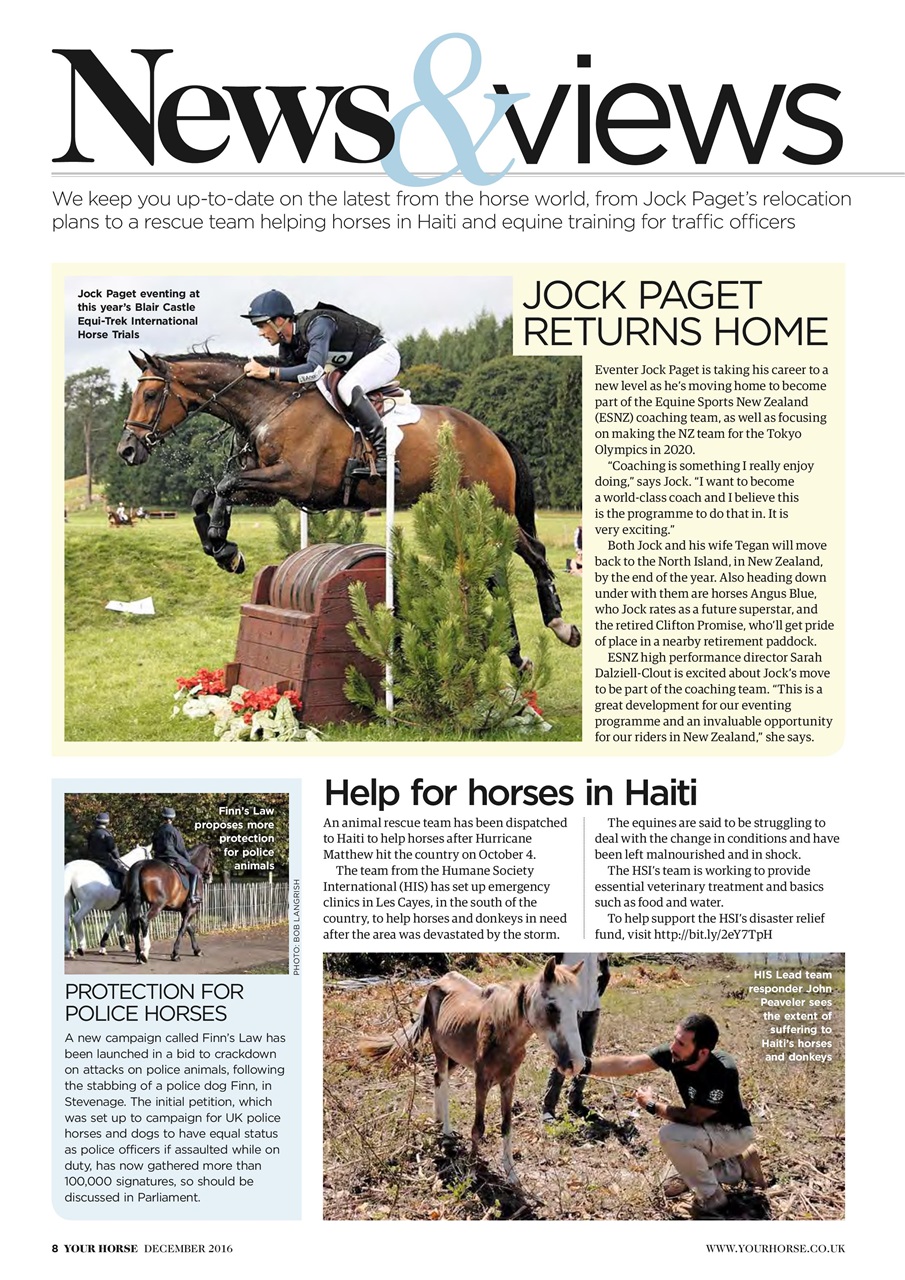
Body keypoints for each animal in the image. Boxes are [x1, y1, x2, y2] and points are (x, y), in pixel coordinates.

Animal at [116, 351, 580, 661]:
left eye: (152, 394)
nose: (127, 450)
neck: (269, 408)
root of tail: (490, 433)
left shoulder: (295, 480)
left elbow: (225, 485)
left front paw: (220, 543)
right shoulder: (271, 489)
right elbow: (208, 494)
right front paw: (226, 552)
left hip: (491, 507)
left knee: (535, 553)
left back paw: (560, 626)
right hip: (465, 509)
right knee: (495, 570)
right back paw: (516, 653)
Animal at [358, 956, 588, 1183]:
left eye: (578, 1009)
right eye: (552, 1007)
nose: (576, 1063)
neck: (503, 1033)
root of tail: (438, 982)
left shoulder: (509, 1081)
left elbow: (506, 1126)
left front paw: (511, 1174)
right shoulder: (481, 1081)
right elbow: (478, 1128)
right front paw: (472, 1171)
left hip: (455, 1057)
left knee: (437, 1079)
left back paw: (439, 1121)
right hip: (440, 1050)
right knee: (443, 1082)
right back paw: (447, 1132)